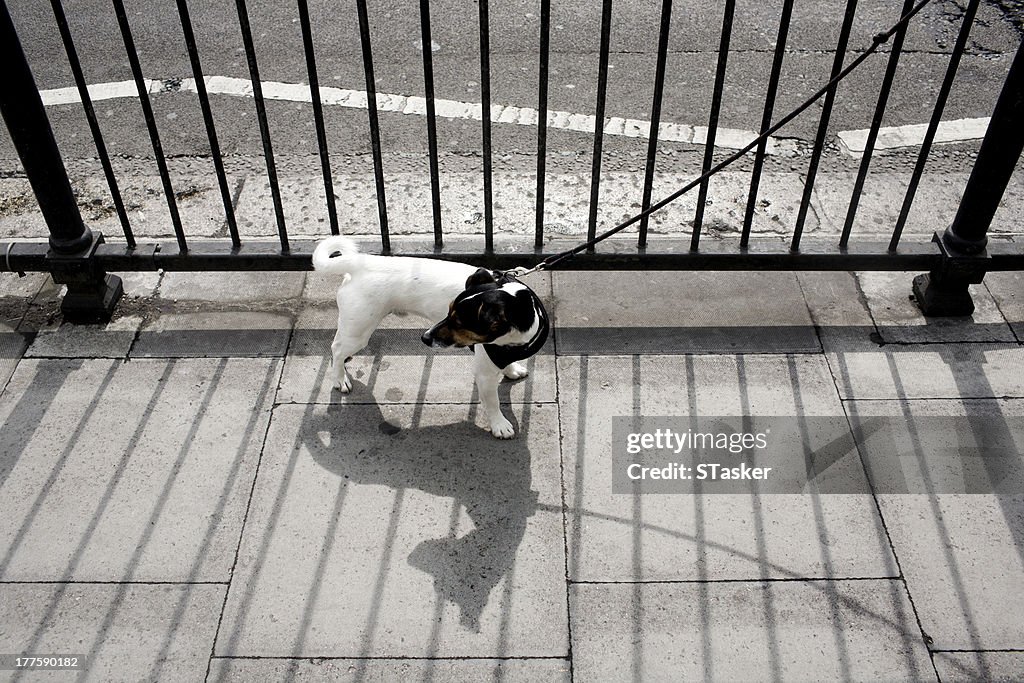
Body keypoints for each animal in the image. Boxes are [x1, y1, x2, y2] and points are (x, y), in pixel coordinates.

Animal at [311, 235, 548, 438]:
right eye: (448, 312)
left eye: (458, 322)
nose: (424, 338)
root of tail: (360, 262)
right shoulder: (484, 374)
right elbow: (492, 402)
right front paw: (499, 425)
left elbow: (507, 366)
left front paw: (512, 370)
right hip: (359, 330)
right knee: (336, 349)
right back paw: (339, 377)